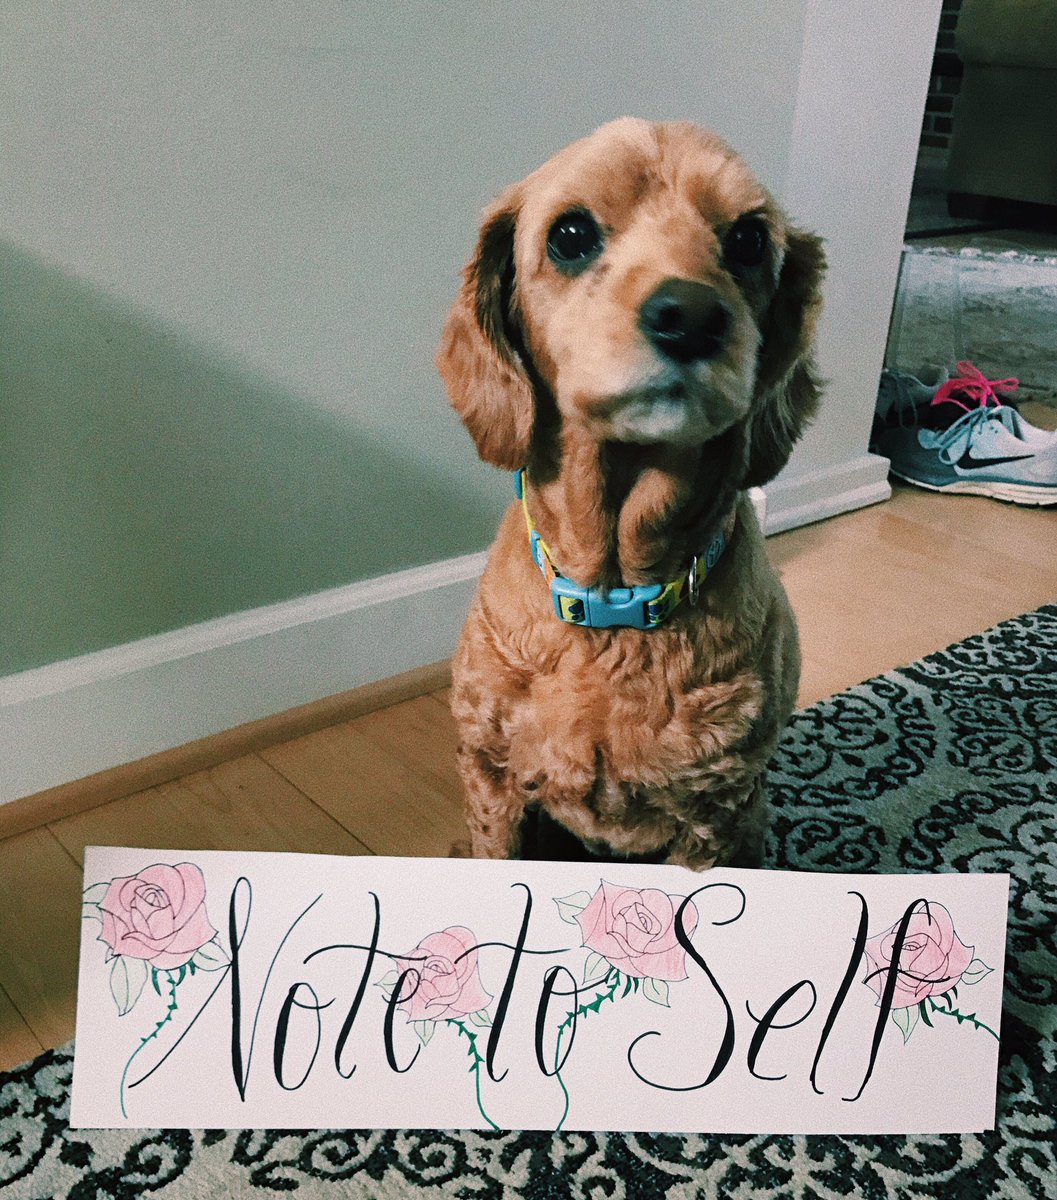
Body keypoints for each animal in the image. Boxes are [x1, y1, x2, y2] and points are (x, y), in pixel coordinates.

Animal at [436, 118, 825, 869]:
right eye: (570, 234)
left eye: (749, 239)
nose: (691, 316)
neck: (614, 598)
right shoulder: (490, 778)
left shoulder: (714, 814)